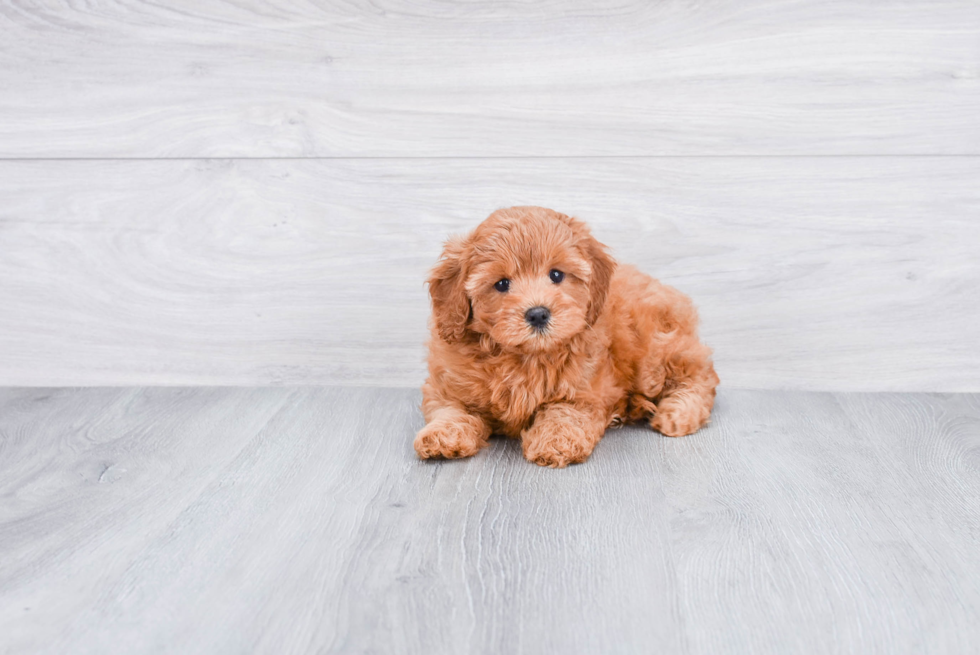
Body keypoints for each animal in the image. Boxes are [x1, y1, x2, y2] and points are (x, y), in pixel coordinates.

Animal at [414, 205, 720, 466]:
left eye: (556, 275)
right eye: (501, 284)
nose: (538, 313)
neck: (525, 357)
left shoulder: (584, 389)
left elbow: (565, 413)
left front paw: (556, 441)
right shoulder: (449, 382)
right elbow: (450, 408)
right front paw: (442, 435)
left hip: (654, 350)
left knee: (700, 374)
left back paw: (678, 412)